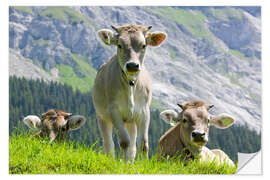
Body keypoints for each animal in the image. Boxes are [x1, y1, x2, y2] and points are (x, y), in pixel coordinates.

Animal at [93, 24, 167, 160]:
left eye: (143, 45)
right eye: (119, 45)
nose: (132, 65)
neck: (131, 84)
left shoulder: (144, 112)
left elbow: (143, 144)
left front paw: (143, 163)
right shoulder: (114, 111)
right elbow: (124, 141)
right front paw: (121, 162)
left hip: (131, 121)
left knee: (133, 145)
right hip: (102, 117)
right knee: (108, 143)